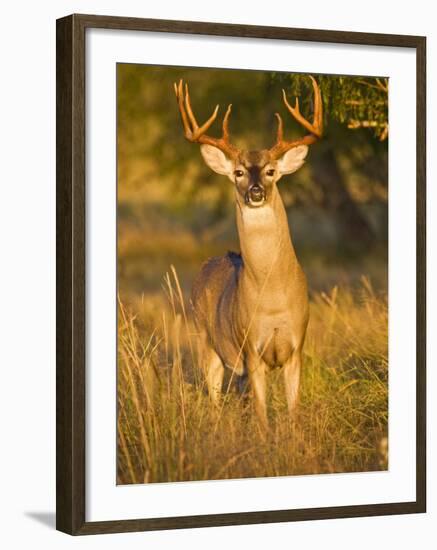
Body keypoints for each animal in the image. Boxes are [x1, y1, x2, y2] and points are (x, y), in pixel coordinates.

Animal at [175, 75, 324, 430]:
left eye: (270, 171)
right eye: (239, 172)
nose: (255, 192)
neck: (273, 296)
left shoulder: (297, 347)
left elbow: (292, 412)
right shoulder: (252, 352)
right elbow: (262, 416)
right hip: (205, 340)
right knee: (214, 399)